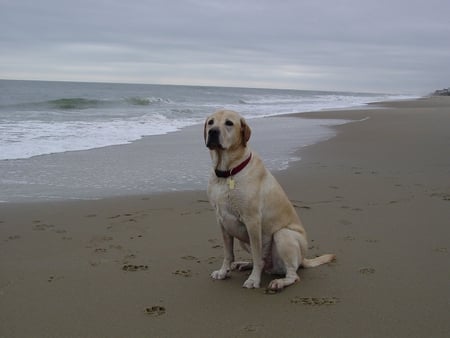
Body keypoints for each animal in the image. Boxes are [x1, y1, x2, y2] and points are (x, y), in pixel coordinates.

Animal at [206, 111, 336, 290]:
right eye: (210, 122)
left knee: (291, 274)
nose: (213, 132)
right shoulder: (223, 222)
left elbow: (256, 253)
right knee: (262, 262)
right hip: (242, 238)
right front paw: (223, 271)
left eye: (229, 123)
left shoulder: (252, 221)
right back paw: (244, 264)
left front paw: (254, 280)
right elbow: (228, 253)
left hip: (283, 235)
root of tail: (303, 259)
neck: (228, 172)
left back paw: (279, 282)